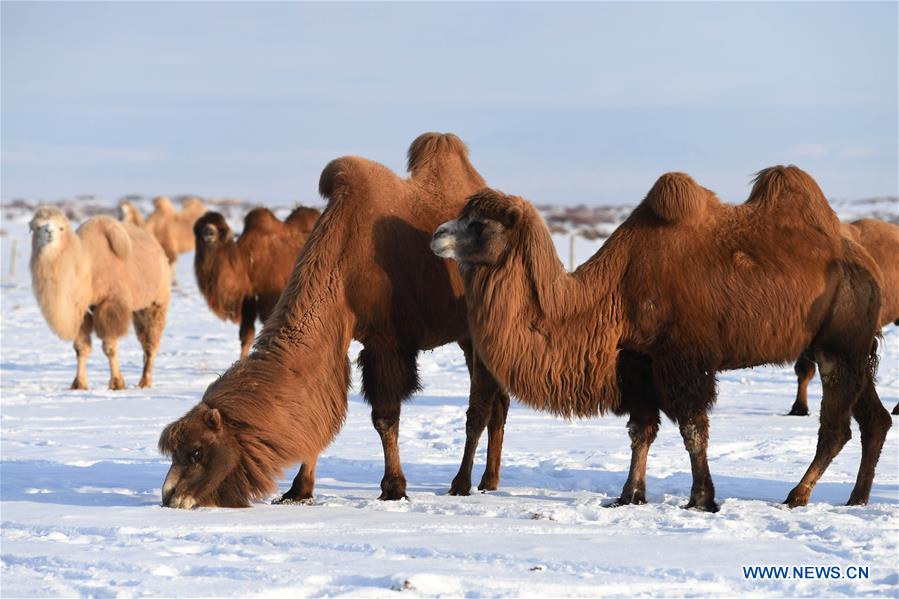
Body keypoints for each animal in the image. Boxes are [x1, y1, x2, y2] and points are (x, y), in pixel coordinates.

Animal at [29, 209, 171, 392]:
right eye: (37, 227)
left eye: (61, 228)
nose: (49, 232)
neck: (86, 268)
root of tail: (158, 247)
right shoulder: (80, 309)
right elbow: (81, 348)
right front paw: (79, 384)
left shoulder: (110, 304)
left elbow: (109, 347)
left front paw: (117, 383)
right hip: (138, 308)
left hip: (157, 300)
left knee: (151, 340)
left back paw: (145, 381)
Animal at [195, 206, 322, 358]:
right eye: (199, 227)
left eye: (221, 228)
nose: (209, 232)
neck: (246, 263)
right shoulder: (248, 299)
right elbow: (246, 336)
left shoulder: (272, 299)